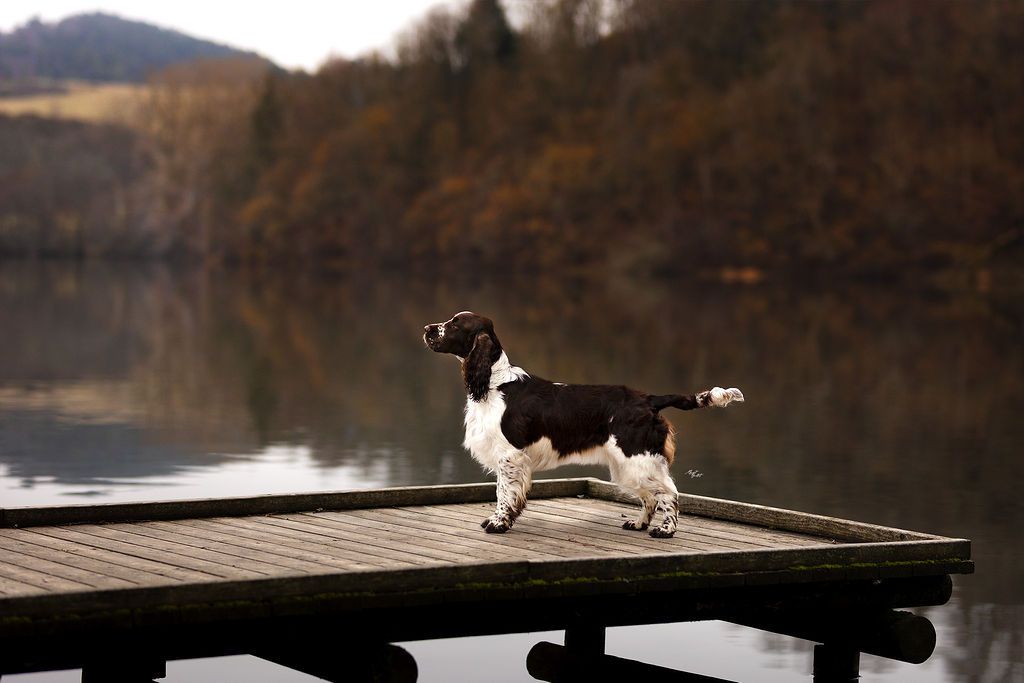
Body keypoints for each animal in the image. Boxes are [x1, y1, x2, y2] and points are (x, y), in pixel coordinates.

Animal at [419, 311, 741, 540]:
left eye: (455, 324)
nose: (426, 329)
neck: (495, 384)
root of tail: (649, 399)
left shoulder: (509, 456)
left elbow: (504, 493)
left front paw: (498, 524)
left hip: (637, 457)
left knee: (669, 493)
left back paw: (666, 531)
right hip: (627, 463)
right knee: (650, 496)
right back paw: (638, 523)